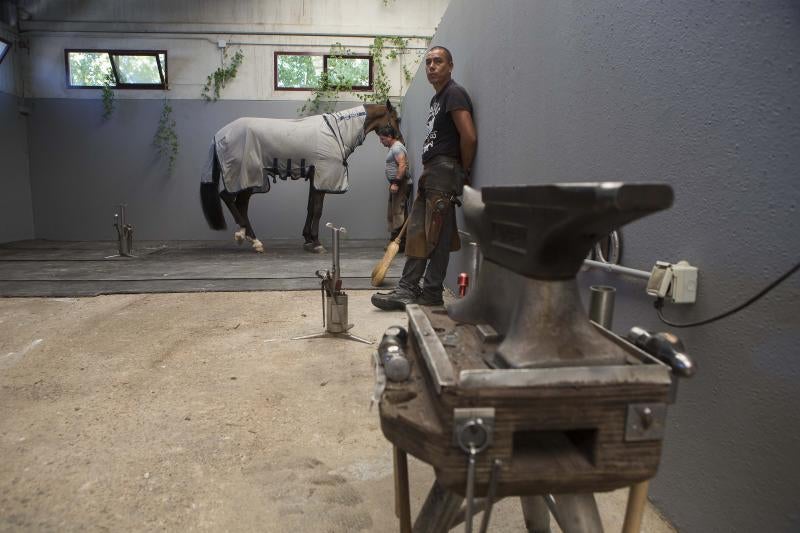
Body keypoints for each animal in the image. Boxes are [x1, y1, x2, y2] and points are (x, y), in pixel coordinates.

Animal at [200, 104, 400, 256]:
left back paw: (250, 238)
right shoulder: (322, 177)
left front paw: (308, 240)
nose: (399, 140)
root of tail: (219, 135)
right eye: (397, 119)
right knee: (227, 197)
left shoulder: (314, 178)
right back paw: (246, 236)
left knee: (241, 205)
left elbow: (310, 208)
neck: (337, 131)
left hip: (249, 179)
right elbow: (317, 211)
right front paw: (317, 243)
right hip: (246, 176)